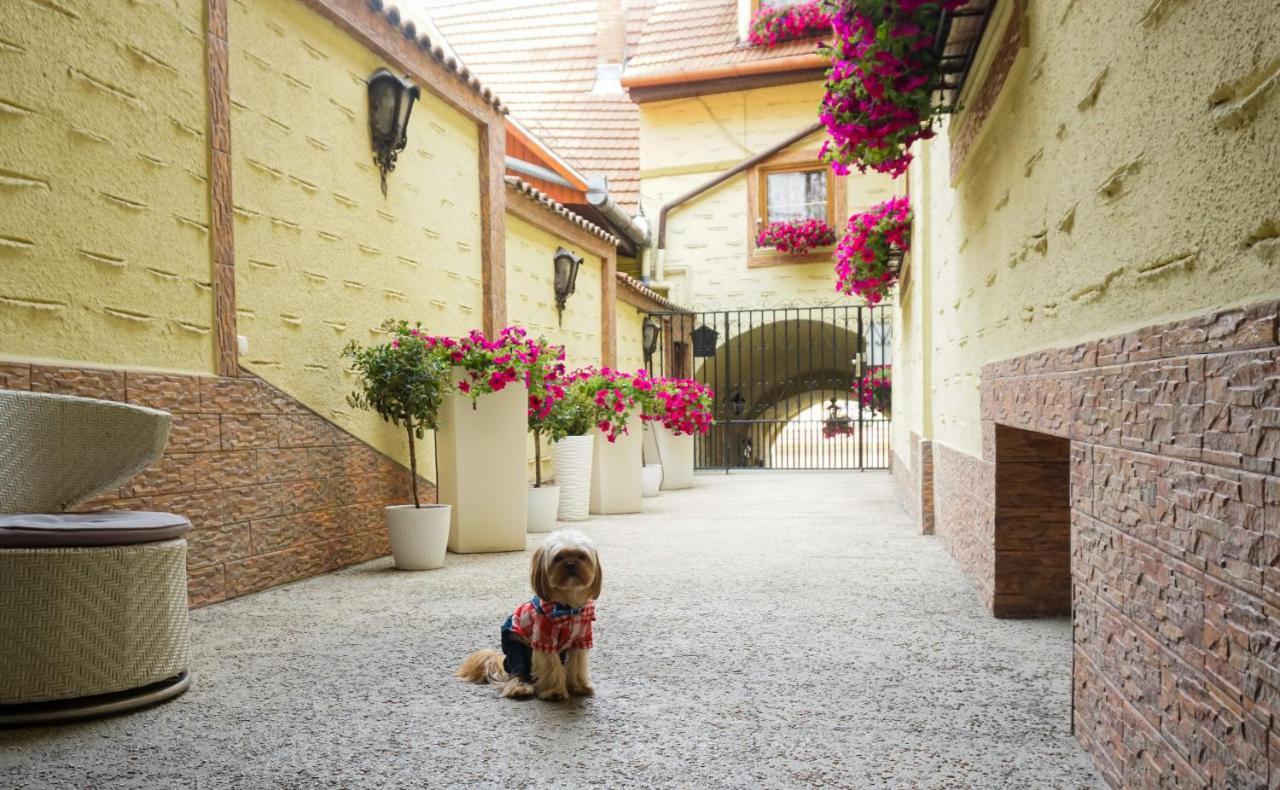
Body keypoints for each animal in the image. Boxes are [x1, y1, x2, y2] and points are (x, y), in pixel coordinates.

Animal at [458, 527, 601, 701]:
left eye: (581, 556)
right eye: (558, 558)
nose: (570, 564)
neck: (567, 606)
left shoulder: (581, 640)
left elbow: (577, 665)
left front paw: (579, 686)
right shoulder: (544, 640)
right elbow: (551, 666)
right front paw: (554, 691)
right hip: (517, 650)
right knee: (519, 674)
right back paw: (519, 688)